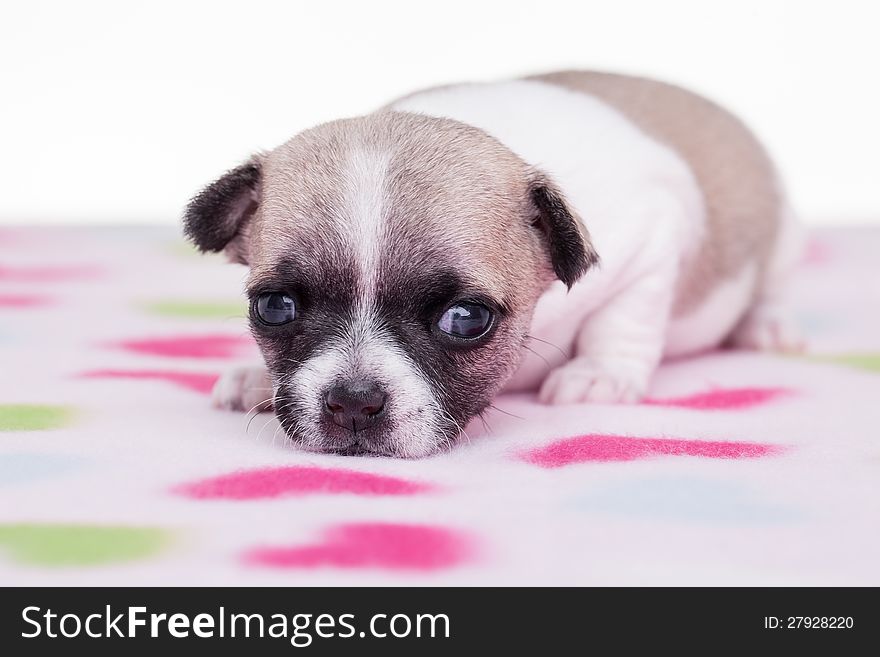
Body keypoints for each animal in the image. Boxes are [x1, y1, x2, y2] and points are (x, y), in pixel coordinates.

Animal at [186, 70, 804, 456]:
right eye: (275, 307)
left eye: (466, 319)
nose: (354, 401)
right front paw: (257, 376)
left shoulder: (653, 244)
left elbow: (624, 319)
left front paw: (598, 372)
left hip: (781, 238)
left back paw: (769, 322)